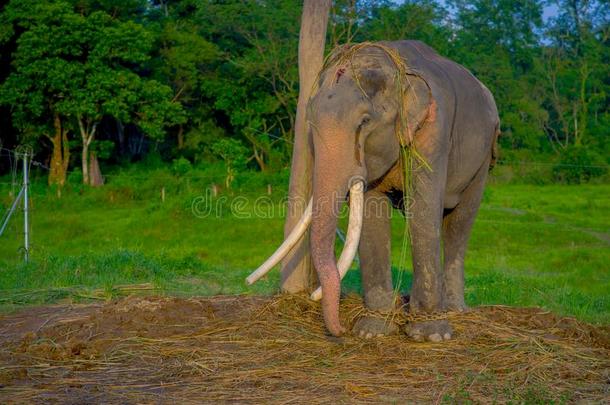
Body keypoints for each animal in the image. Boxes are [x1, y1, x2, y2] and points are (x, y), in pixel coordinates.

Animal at [247, 40, 498, 340]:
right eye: (311, 124)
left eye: (364, 122)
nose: (341, 329)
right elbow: (371, 213)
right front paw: (372, 331)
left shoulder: (434, 131)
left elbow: (423, 210)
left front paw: (430, 335)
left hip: (484, 159)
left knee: (459, 222)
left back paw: (454, 310)